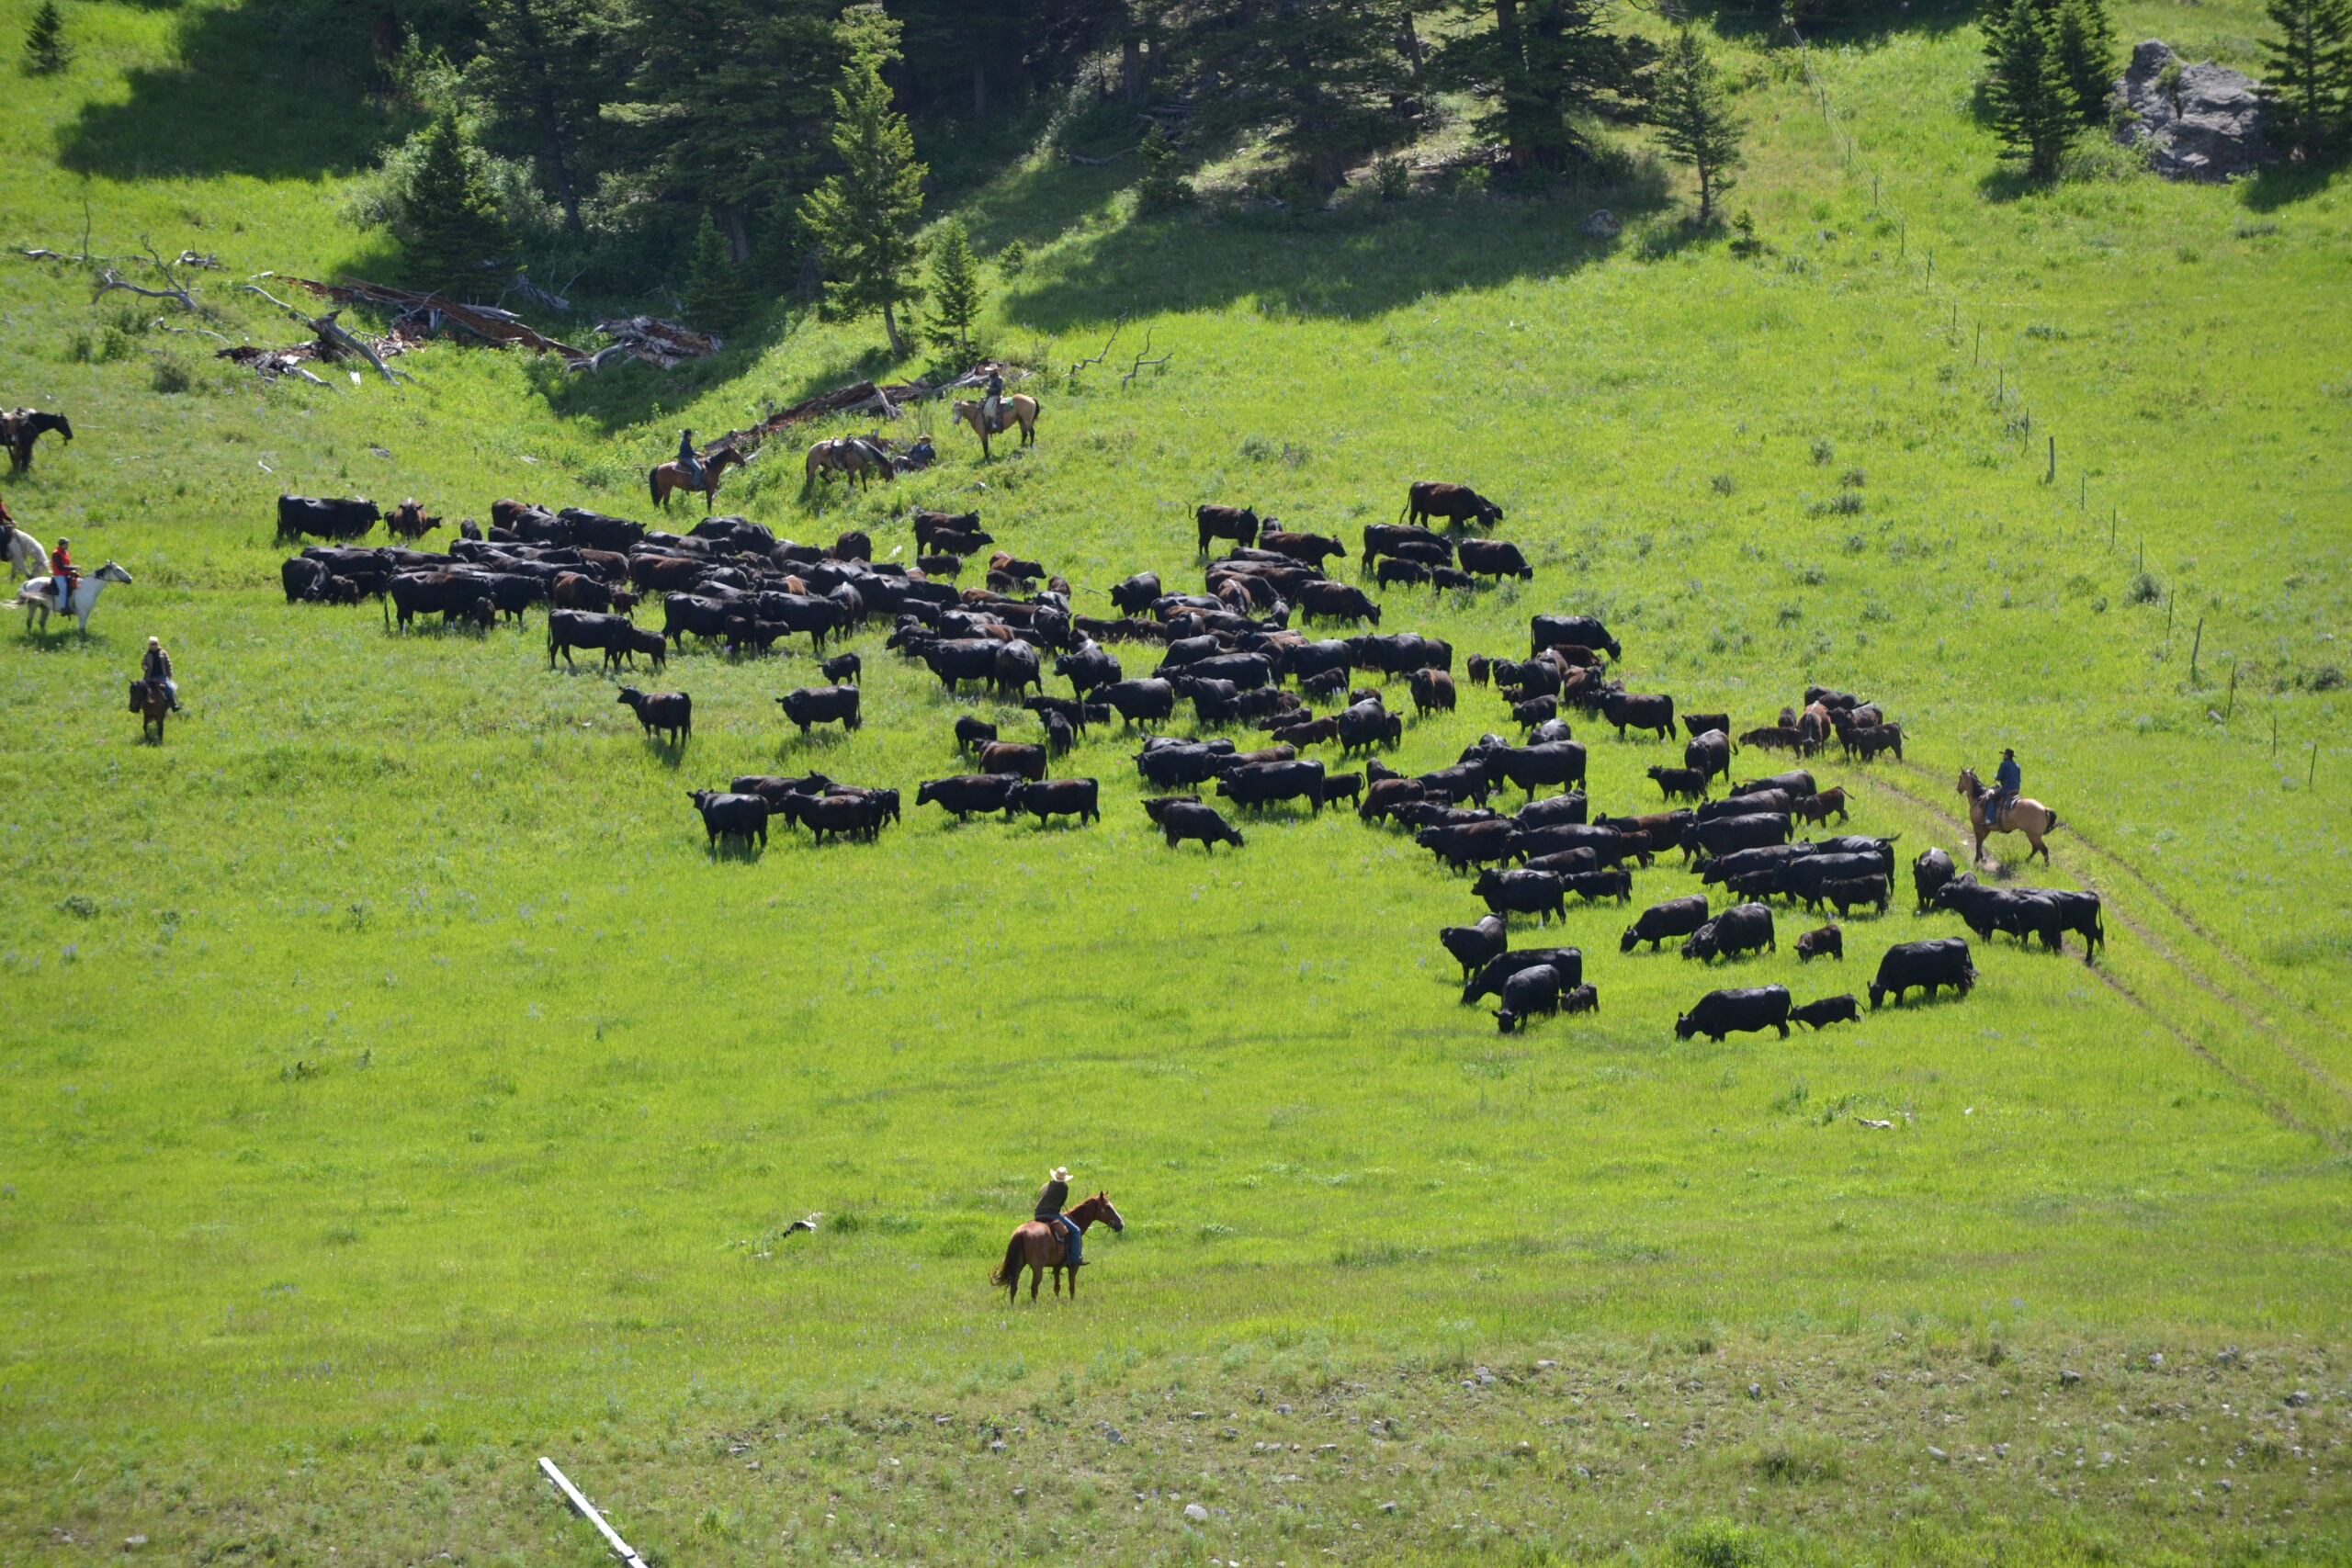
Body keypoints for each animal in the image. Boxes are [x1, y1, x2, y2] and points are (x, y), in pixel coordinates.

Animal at [16, 564, 133, 639]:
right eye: (118, 569)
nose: (130, 579)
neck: (88, 587)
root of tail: (28, 582)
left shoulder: (86, 613)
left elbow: (83, 628)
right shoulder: (82, 613)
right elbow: (81, 628)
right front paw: (83, 640)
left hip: (44, 608)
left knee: (41, 622)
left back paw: (45, 636)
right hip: (33, 605)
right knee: (29, 622)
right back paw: (29, 637)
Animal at [988, 1194, 1124, 1306]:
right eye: (1108, 1207)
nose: (1121, 1224)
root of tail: (1021, 1232)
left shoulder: (1056, 1266)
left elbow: (1057, 1286)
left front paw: (1057, 1300)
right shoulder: (1073, 1266)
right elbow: (1071, 1285)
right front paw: (1072, 1301)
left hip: (1019, 1265)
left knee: (1014, 1286)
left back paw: (1012, 1305)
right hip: (1037, 1268)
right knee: (1034, 1287)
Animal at [1674, 987, 1796, 1048]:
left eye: (1683, 1028)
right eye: (1676, 1029)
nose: (1678, 1041)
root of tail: (1783, 988)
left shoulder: (1717, 1030)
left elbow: (1713, 1040)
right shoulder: (1720, 1032)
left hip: (1780, 1020)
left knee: (1785, 1031)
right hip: (1780, 1021)